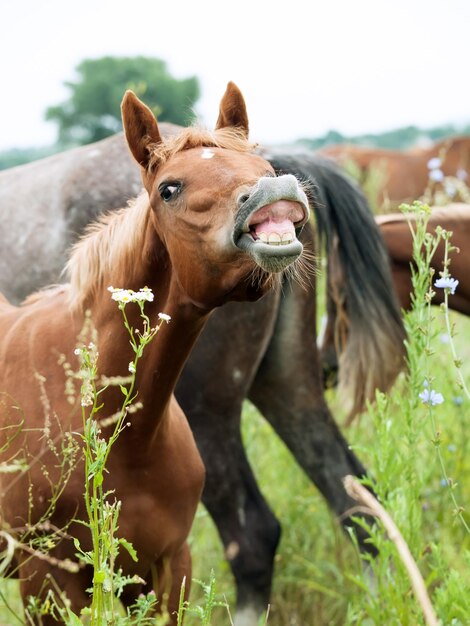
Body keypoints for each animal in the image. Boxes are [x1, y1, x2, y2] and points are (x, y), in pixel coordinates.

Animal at [0, 130, 404, 620]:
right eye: (169, 188)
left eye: (263, 172)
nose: (276, 194)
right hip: (286, 381)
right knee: (356, 502)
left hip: (212, 412)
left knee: (254, 534)